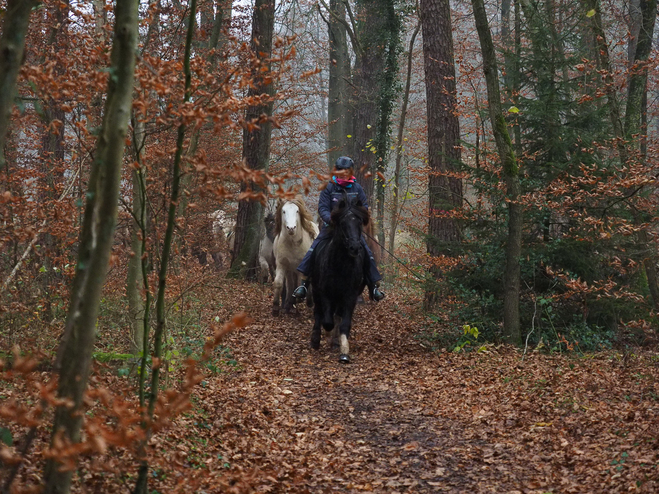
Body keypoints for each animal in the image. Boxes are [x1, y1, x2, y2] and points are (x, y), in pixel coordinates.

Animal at [310, 194, 372, 362]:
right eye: (343, 223)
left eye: (359, 222)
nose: (355, 248)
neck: (340, 265)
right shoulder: (325, 293)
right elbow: (327, 321)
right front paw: (327, 335)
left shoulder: (350, 296)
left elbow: (344, 323)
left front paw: (344, 350)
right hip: (315, 291)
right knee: (318, 313)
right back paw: (315, 339)